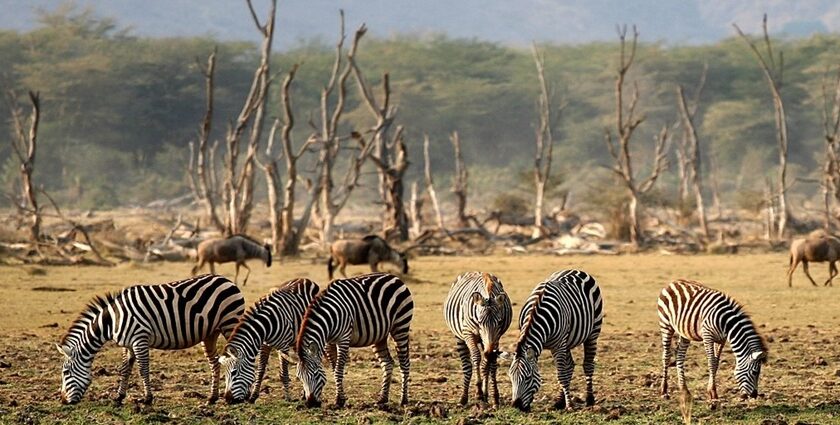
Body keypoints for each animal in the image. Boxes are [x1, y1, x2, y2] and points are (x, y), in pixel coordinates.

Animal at [56, 274, 243, 406]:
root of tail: (227, 280)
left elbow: (143, 369)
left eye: (65, 373)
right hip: (210, 334)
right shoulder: (127, 344)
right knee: (215, 362)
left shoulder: (140, 339)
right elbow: (125, 369)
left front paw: (147, 399)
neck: (112, 321)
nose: (63, 401)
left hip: (230, 323)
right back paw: (212, 398)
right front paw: (119, 397)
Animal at [290, 272, 416, 408]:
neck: (329, 319)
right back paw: (382, 398)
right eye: (299, 377)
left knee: (404, 363)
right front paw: (341, 398)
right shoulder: (329, 343)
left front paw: (339, 400)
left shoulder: (344, 339)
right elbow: (334, 369)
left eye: (315, 374)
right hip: (380, 335)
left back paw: (403, 400)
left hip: (401, 326)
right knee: (387, 363)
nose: (311, 403)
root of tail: (394, 277)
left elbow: (338, 370)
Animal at [440, 270, 512, 406]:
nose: (489, 351)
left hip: (485, 341)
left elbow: (491, 364)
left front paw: (493, 396)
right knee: (467, 364)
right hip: (460, 337)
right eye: (479, 322)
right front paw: (476, 393)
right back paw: (467, 396)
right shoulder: (468, 333)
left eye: (499, 322)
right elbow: (476, 357)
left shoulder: (496, 336)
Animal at [506, 268, 604, 410]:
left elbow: (561, 375)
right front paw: (564, 402)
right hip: (567, 342)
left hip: (592, 333)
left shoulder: (558, 345)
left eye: (528, 378)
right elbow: (564, 372)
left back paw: (589, 399)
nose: (516, 406)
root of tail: (575, 269)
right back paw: (559, 401)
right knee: (570, 366)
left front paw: (569, 405)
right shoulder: (557, 345)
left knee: (588, 365)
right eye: (511, 377)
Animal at [656, 276, 768, 406]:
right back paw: (664, 391)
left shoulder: (721, 340)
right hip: (666, 324)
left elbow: (716, 363)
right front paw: (713, 393)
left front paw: (712, 393)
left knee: (679, 355)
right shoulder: (707, 336)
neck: (726, 323)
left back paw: (684, 390)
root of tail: (674, 282)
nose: (754, 395)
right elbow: (711, 362)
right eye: (755, 372)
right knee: (666, 356)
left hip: (684, 332)